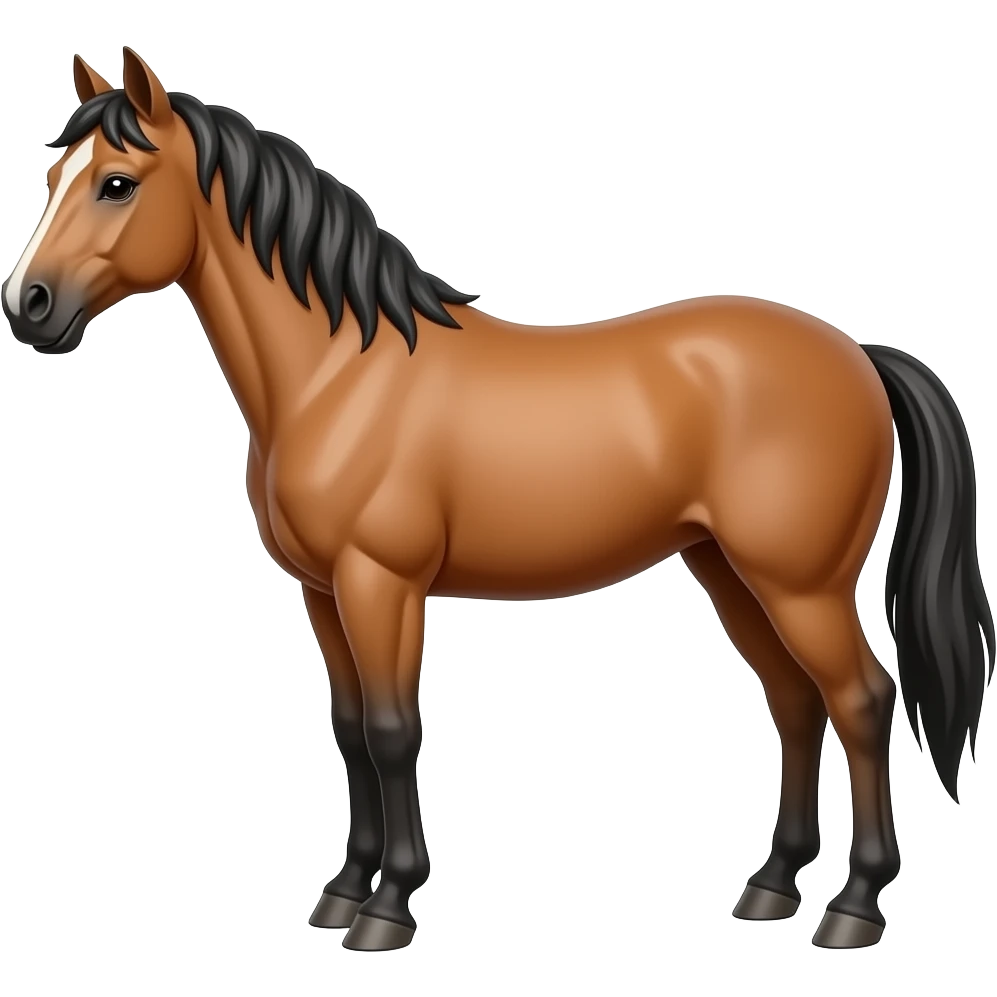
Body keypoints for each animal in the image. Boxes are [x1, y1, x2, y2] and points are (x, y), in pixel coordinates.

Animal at [3, 47, 993, 952]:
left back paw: (853, 907)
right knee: (794, 703)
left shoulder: (381, 583)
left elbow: (394, 731)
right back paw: (771, 886)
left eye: (118, 184)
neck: (338, 375)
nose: (29, 305)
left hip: (800, 583)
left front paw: (388, 908)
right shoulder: (322, 592)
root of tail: (856, 352)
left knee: (860, 699)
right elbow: (349, 729)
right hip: (730, 572)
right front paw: (342, 891)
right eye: (55, 177)